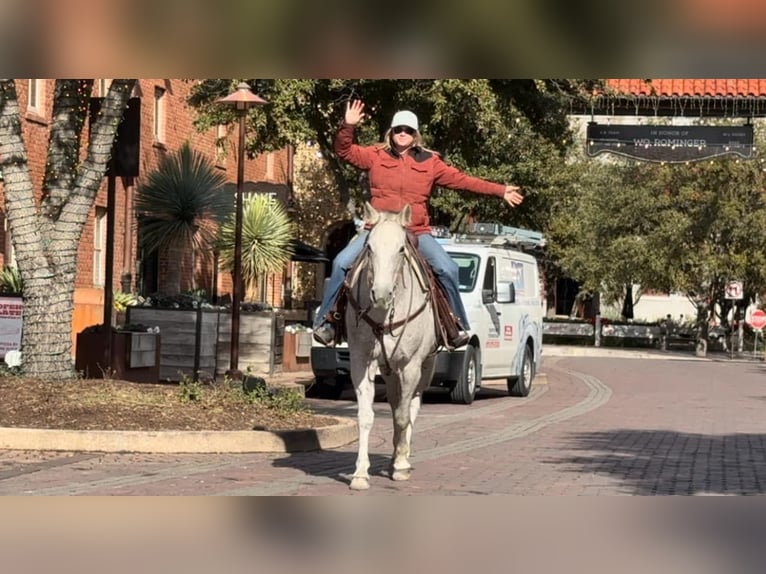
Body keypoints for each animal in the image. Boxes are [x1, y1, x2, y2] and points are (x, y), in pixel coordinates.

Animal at [346, 202, 438, 490]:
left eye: (400, 249)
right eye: (369, 247)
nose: (381, 294)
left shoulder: (411, 366)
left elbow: (403, 416)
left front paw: (400, 465)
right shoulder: (361, 360)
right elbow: (366, 416)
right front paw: (360, 473)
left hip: (426, 366)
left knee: (411, 406)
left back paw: (401, 458)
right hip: (389, 369)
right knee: (397, 402)